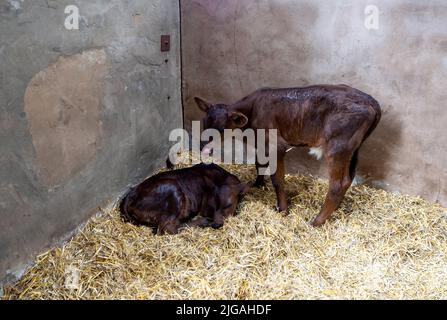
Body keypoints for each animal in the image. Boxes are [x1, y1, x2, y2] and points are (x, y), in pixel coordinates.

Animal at [121, 164, 250, 234]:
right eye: (212, 207)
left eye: (228, 205)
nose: (216, 224)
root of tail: (129, 198)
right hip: (172, 189)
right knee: (167, 228)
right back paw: (202, 221)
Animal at [195, 84, 382, 226]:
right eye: (204, 123)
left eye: (221, 129)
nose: (202, 147)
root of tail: (371, 101)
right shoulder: (261, 142)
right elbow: (259, 163)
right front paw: (258, 184)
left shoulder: (276, 145)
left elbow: (278, 180)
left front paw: (283, 209)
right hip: (353, 149)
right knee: (348, 179)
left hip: (337, 147)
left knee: (337, 184)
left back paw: (316, 222)